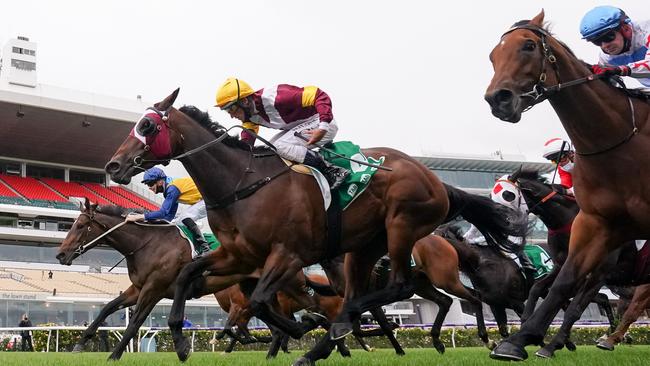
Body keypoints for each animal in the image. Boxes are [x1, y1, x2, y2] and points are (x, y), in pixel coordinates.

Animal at [55, 202, 256, 362]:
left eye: (80, 225)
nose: (60, 255)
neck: (147, 244)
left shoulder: (153, 289)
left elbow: (135, 322)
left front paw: (114, 356)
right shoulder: (137, 288)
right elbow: (108, 308)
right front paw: (80, 344)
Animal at [104, 93, 524, 364]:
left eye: (146, 125)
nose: (113, 165)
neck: (244, 182)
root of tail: (436, 179)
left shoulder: (287, 255)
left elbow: (260, 302)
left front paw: (298, 327)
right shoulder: (239, 255)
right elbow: (190, 272)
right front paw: (178, 338)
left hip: (403, 226)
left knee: (401, 288)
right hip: (363, 248)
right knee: (367, 293)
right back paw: (327, 340)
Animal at [480, 11, 648, 358]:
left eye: (529, 46)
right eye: (492, 56)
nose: (498, 100)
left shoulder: (605, 263)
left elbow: (578, 303)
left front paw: (552, 340)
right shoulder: (592, 232)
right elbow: (556, 286)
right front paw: (524, 338)